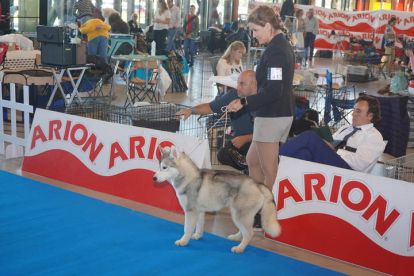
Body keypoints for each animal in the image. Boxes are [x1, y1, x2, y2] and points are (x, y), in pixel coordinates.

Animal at [152, 147, 282, 252]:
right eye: (159, 167)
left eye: (164, 167)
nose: (154, 178)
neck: (189, 178)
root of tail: (258, 183)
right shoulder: (199, 211)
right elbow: (199, 225)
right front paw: (197, 236)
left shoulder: (190, 211)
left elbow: (187, 228)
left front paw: (183, 241)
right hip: (241, 215)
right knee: (245, 230)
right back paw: (236, 238)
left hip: (239, 215)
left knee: (249, 233)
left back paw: (240, 248)